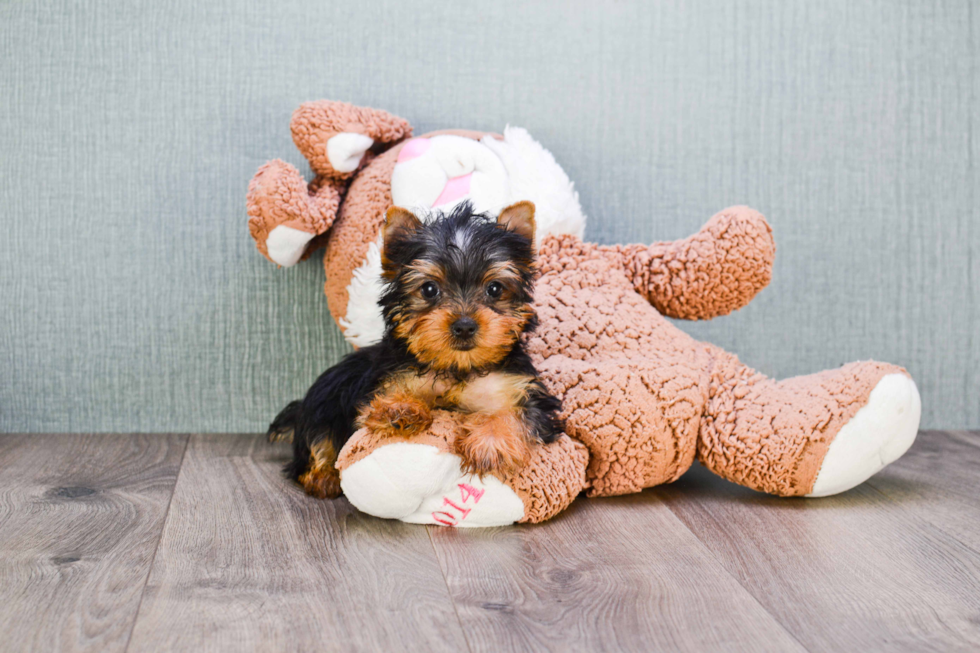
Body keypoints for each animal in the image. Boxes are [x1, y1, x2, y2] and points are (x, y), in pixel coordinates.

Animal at [268, 201, 564, 496]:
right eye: (429, 289)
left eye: (494, 288)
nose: (464, 326)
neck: (456, 366)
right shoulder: (389, 378)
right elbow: (385, 398)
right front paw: (400, 409)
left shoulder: (518, 389)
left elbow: (518, 413)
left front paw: (490, 442)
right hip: (325, 400)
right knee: (317, 439)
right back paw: (323, 476)